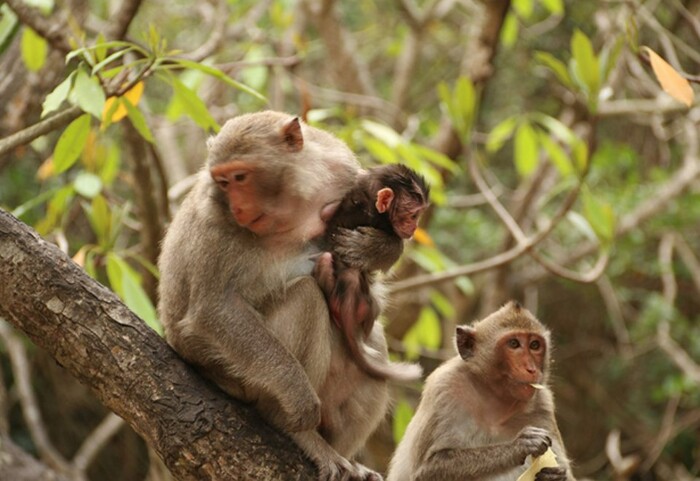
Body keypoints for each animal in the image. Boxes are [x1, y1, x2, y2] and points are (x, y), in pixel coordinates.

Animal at [157, 111, 388, 480]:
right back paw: (295, 429)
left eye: (240, 176)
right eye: (223, 182)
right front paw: (299, 400)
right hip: (237, 377)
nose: (237, 207)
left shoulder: (344, 171)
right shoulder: (214, 213)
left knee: (374, 352)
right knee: (306, 298)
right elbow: (213, 308)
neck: (293, 201)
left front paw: (371, 249)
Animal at [382, 300, 576, 480]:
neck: (494, 401)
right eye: (514, 343)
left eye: (535, 345)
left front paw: (555, 476)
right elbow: (425, 470)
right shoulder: (445, 387)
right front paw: (519, 446)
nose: (531, 369)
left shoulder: (542, 405)